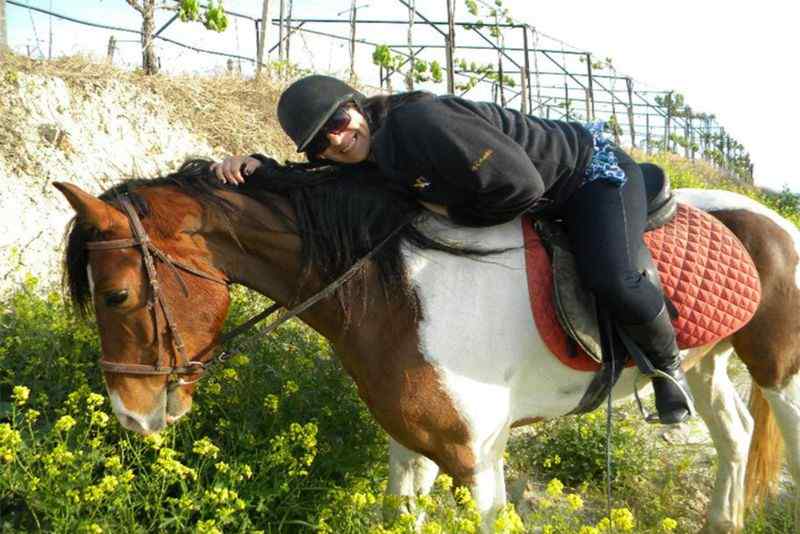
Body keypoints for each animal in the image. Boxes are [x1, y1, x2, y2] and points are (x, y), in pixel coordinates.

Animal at [53, 160, 796, 534]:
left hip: (779, 373)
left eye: (115, 295)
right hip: (705, 364)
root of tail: (771, 218)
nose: (131, 416)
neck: (400, 284)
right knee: (733, 435)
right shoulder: (411, 442)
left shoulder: (477, 461)